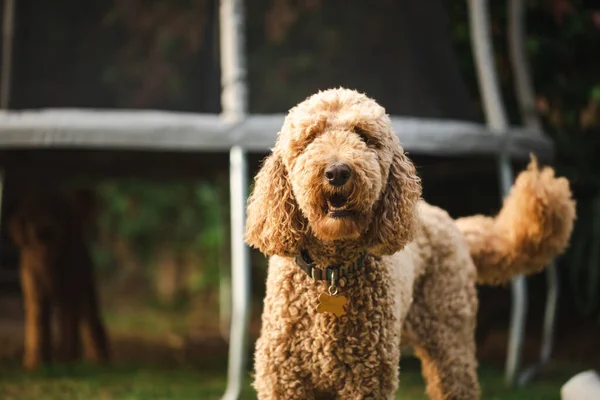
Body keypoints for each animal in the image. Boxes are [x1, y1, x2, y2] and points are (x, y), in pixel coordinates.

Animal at [245, 88, 576, 400]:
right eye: (311, 137)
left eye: (364, 137)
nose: (337, 172)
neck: (331, 271)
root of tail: (452, 223)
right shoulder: (283, 381)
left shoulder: (367, 382)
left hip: (450, 339)